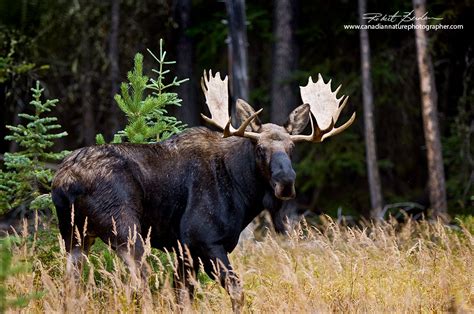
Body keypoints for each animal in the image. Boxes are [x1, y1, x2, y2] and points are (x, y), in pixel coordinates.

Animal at [52, 72, 356, 312]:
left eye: (292, 148)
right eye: (260, 149)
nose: (286, 182)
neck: (242, 193)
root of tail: (65, 182)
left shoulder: (182, 248)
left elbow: (182, 296)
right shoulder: (203, 239)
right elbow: (236, 290)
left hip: (75, 236)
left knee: (71, 285)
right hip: (125, 229)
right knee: (140, 281)